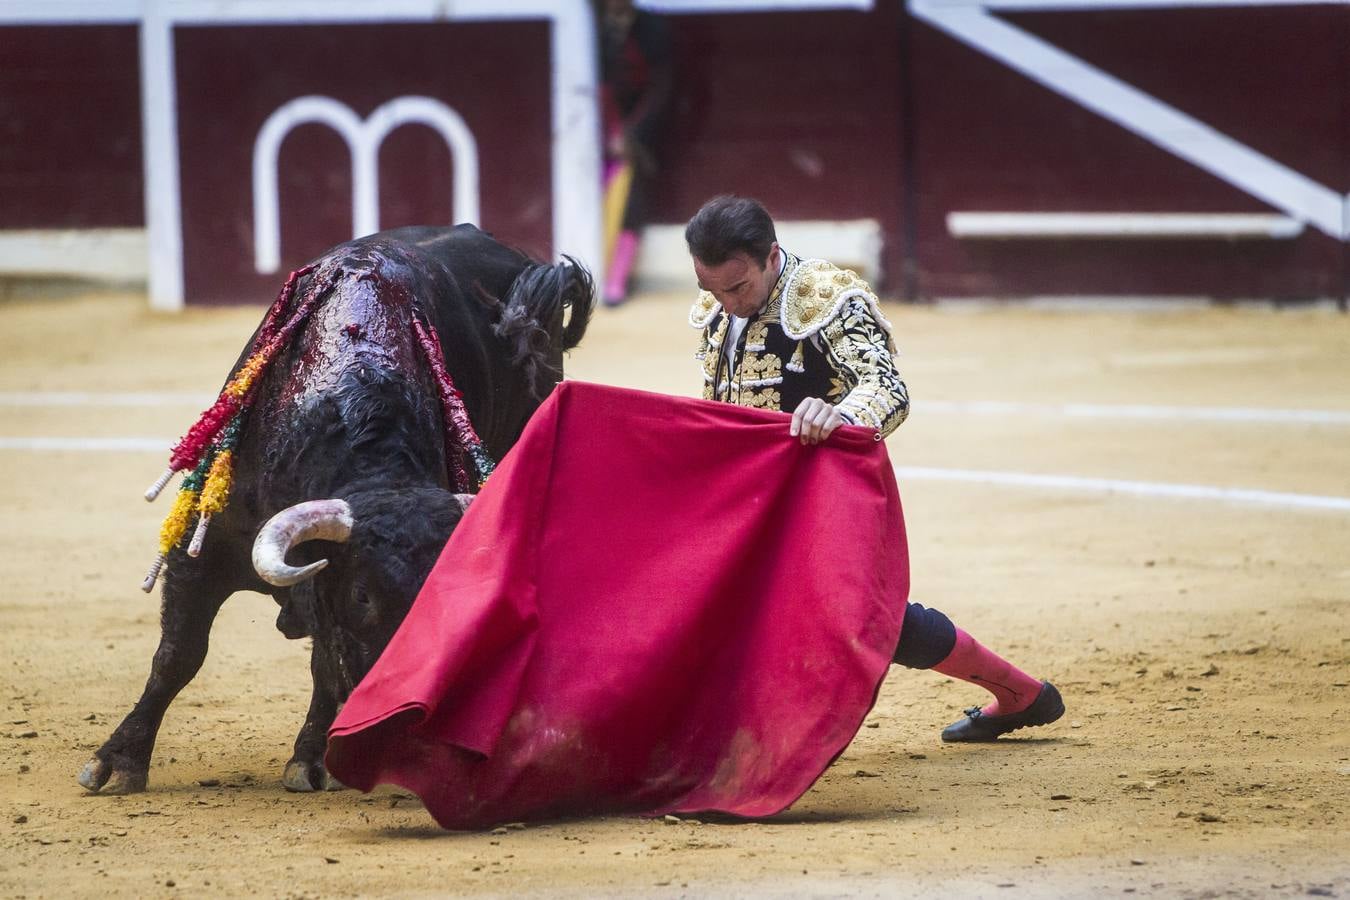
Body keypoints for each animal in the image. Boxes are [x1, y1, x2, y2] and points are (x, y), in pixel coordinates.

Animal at [77, 225, 591, 793]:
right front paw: (117, 760)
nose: (402, 723)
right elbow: (178, 655)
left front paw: (311, 758)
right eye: (363, 595)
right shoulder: (203, 550)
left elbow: (324, 660)